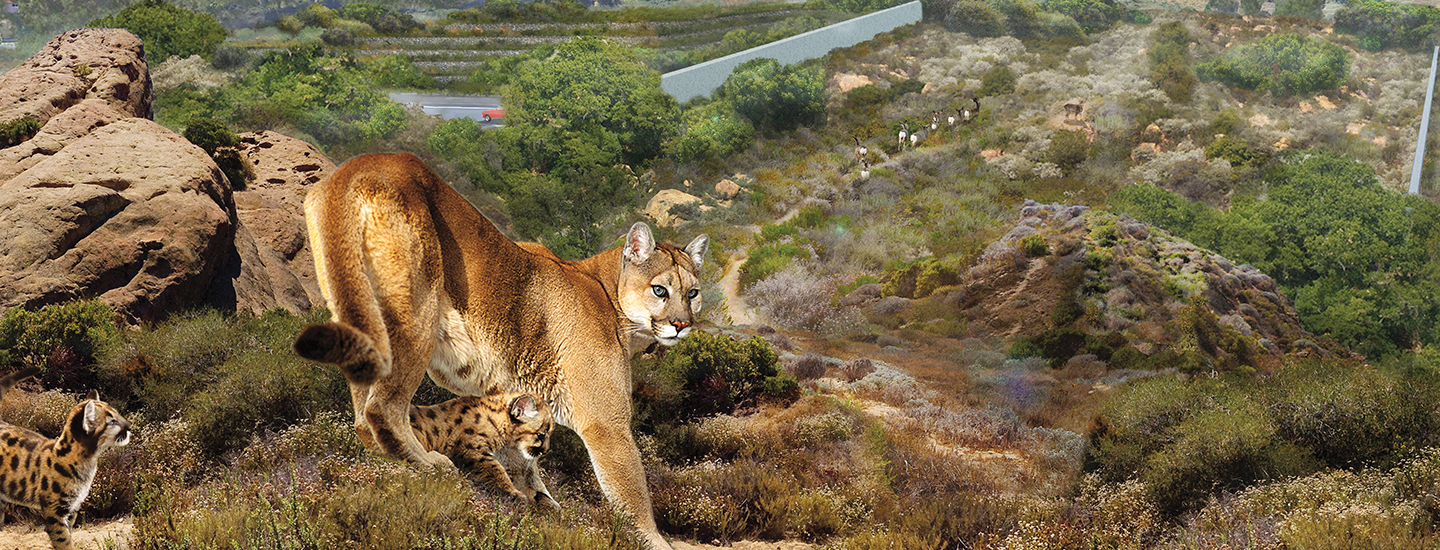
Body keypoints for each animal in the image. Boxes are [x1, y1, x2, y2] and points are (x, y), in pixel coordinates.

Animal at [289, 151, 705, 550]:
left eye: (693, 293)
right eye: (660, 290)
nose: (682, 324)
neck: (610, 293)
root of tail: (356, 166)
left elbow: (524, 462)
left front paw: (547, 507)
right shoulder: (608, 425)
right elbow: (632, 495)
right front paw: (654, 541)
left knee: (362, 409)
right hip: (416, 309)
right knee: (380, 408)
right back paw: (431, 463)